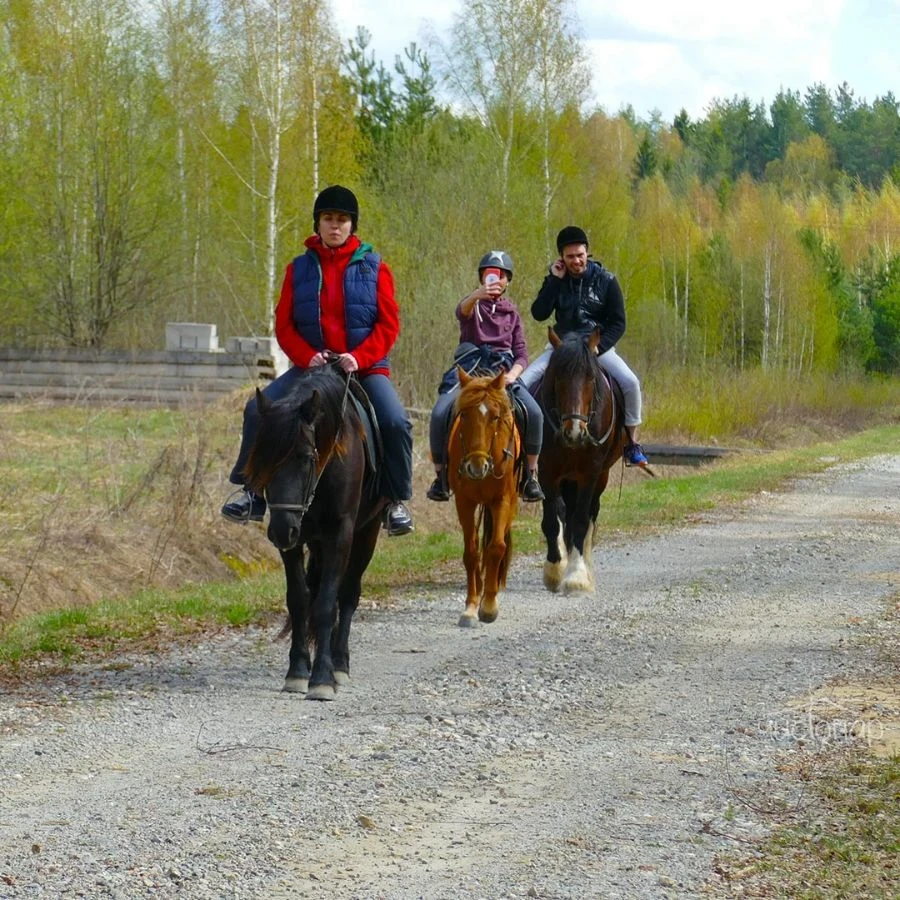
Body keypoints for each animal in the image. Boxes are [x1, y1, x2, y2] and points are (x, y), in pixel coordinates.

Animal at [243, 362, 386, 700]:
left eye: (307, 458)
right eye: (260, 459)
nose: (281, 531)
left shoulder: (340, 534)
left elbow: (325, 605)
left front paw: (322, 677)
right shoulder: (293, 540)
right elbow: (299, 600)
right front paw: (297, 671)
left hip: (367, 533)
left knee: (347, 595)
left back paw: (340, 664)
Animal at [448, 366, 520, 624]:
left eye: (495, 417)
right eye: (464, 415)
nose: (476, 467)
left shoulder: (502, 500)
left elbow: (496, 547)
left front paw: (488, 606)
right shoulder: (464, 502)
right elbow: (471, 552)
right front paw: (471, 606)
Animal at [536, 326, 624, 596]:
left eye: (591, 379)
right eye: (557, 378)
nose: (574, 432)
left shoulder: (590, 473)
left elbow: (582, 522)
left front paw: (576, 576)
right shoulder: (547, 472)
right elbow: (552, 522)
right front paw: (555, 571)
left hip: (599, 477)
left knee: (588, 517)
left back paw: (584, 566)